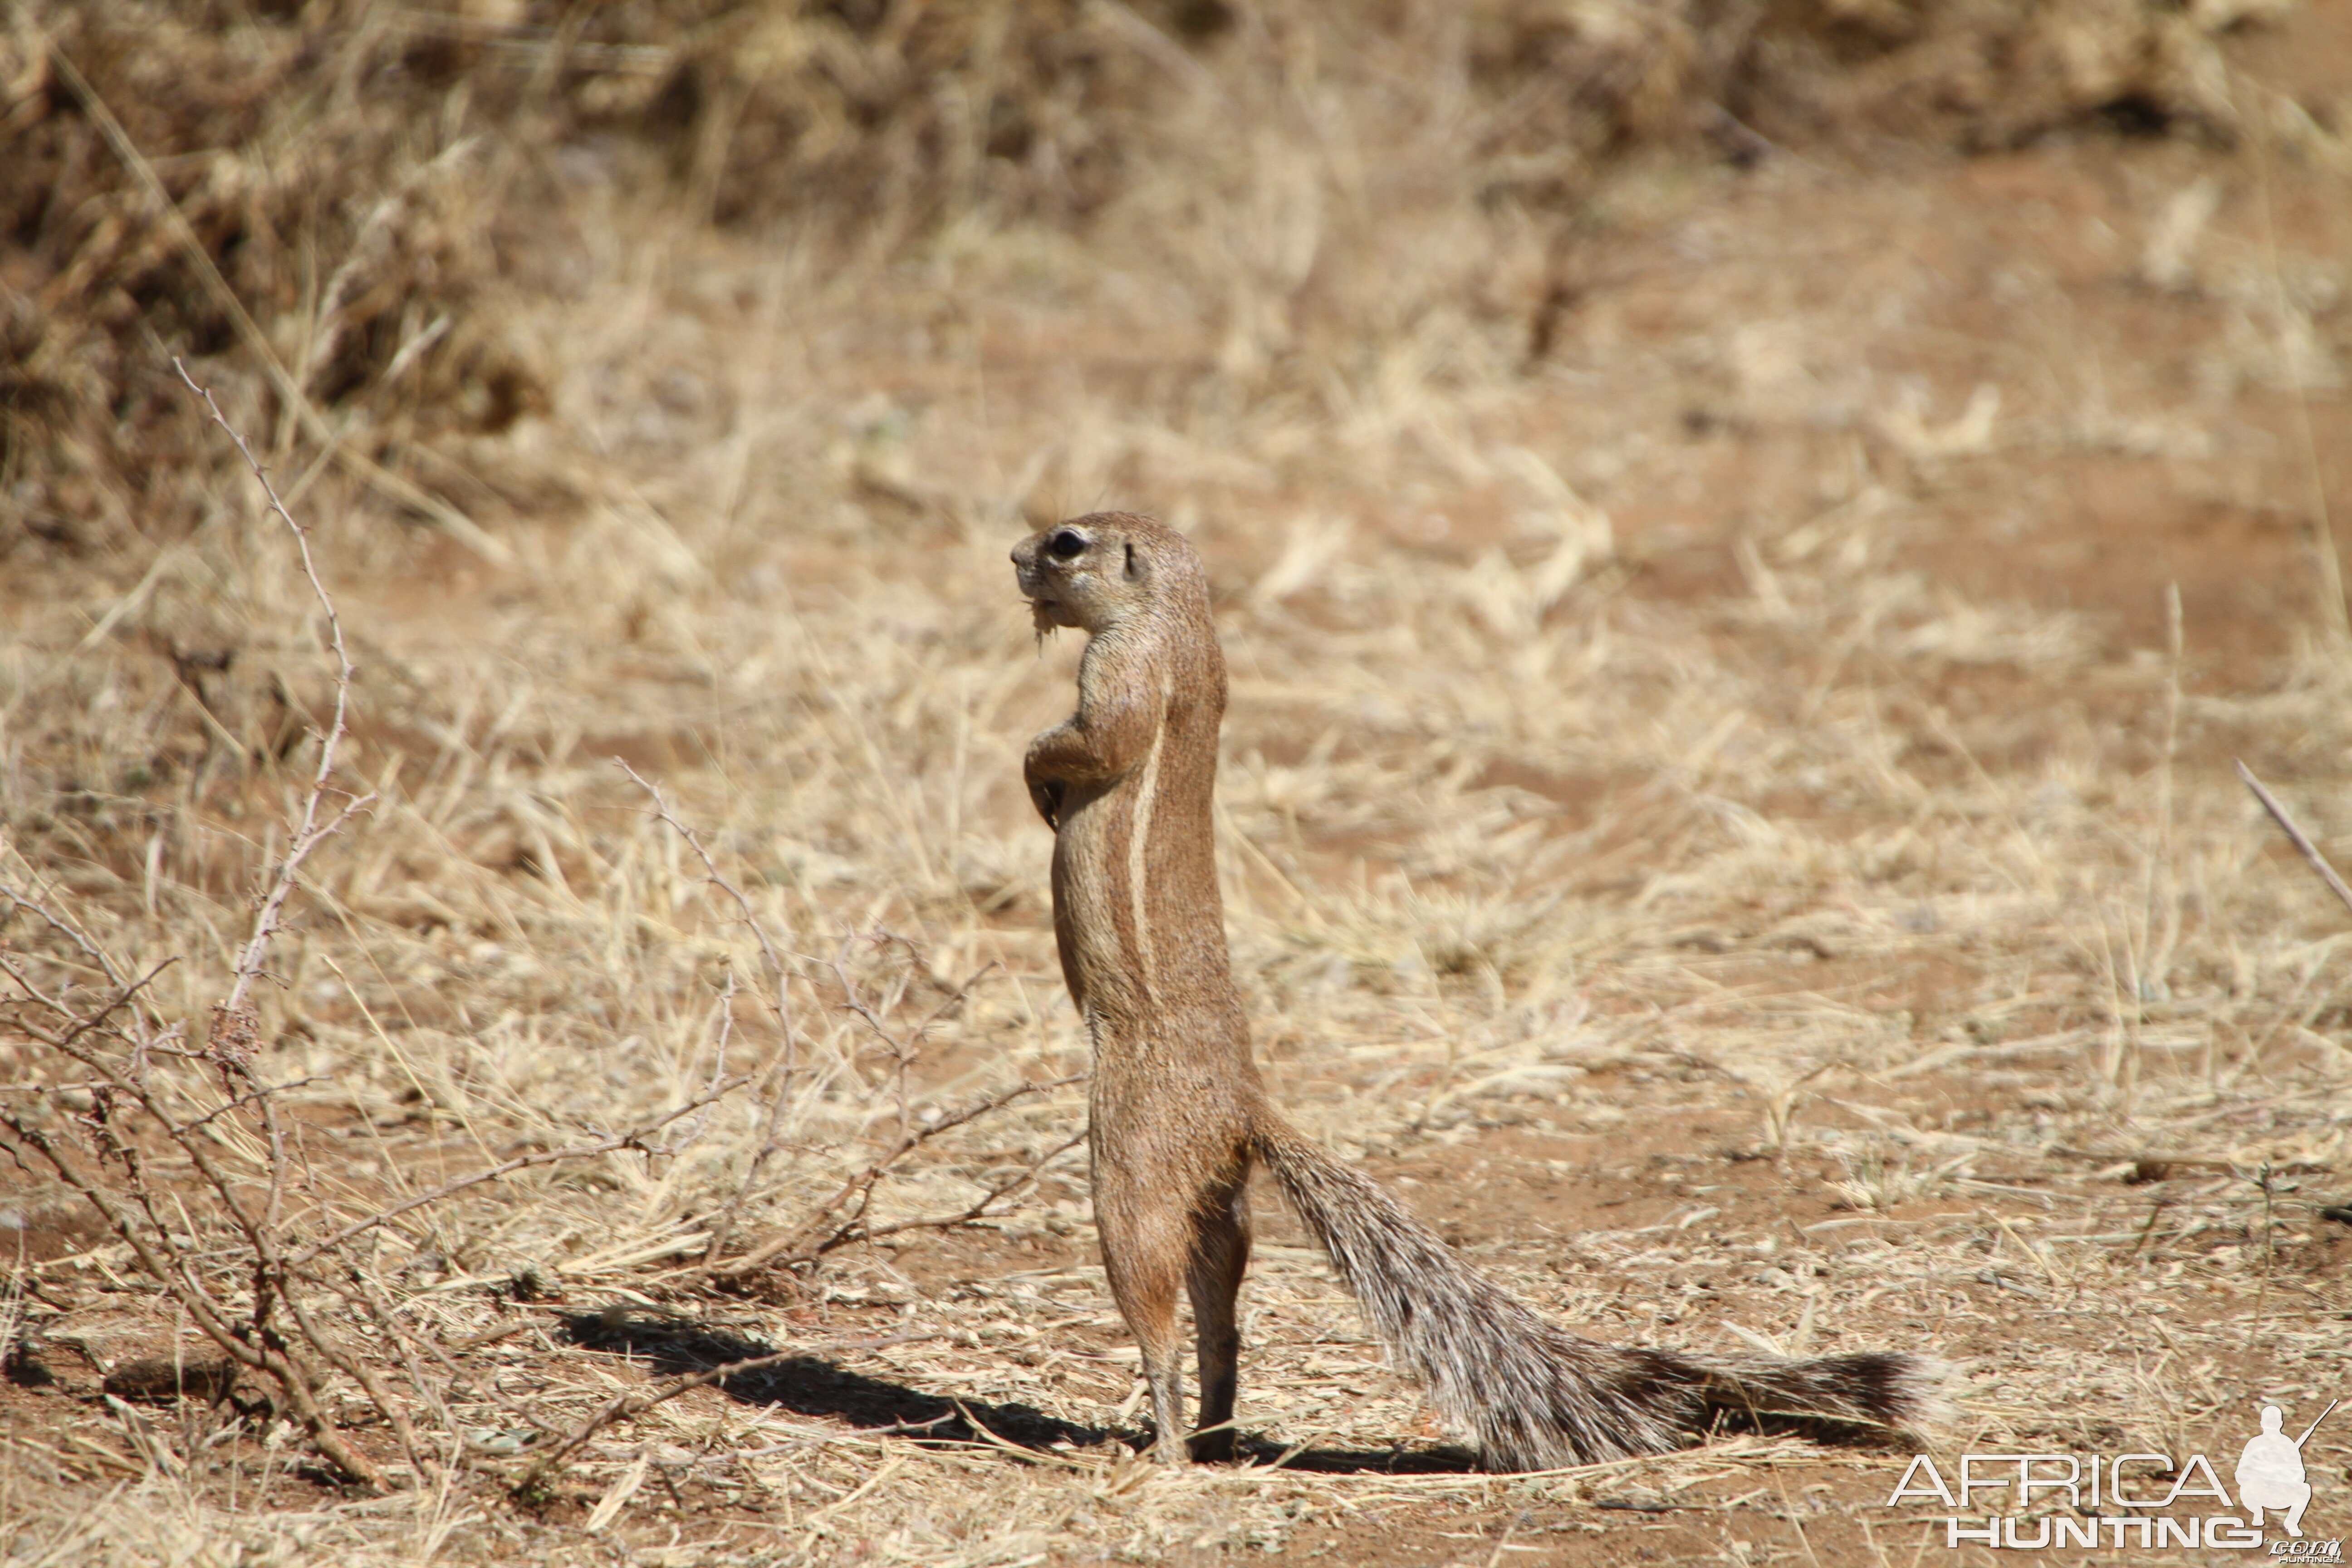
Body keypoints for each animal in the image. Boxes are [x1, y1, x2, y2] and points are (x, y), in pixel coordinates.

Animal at [1016, 514, 1947, 1476]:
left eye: (1066, 542)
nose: (1014, 559)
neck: (1180, 626)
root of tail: (1246, 1107)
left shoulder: (1121, 677)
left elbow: (1091, 740)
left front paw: (1036, 773)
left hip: (1132, 1167)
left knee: (1157, 1304)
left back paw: (1164, 1445)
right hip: (1216, 1198)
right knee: (1223, 1317)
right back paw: (1212, 1434)